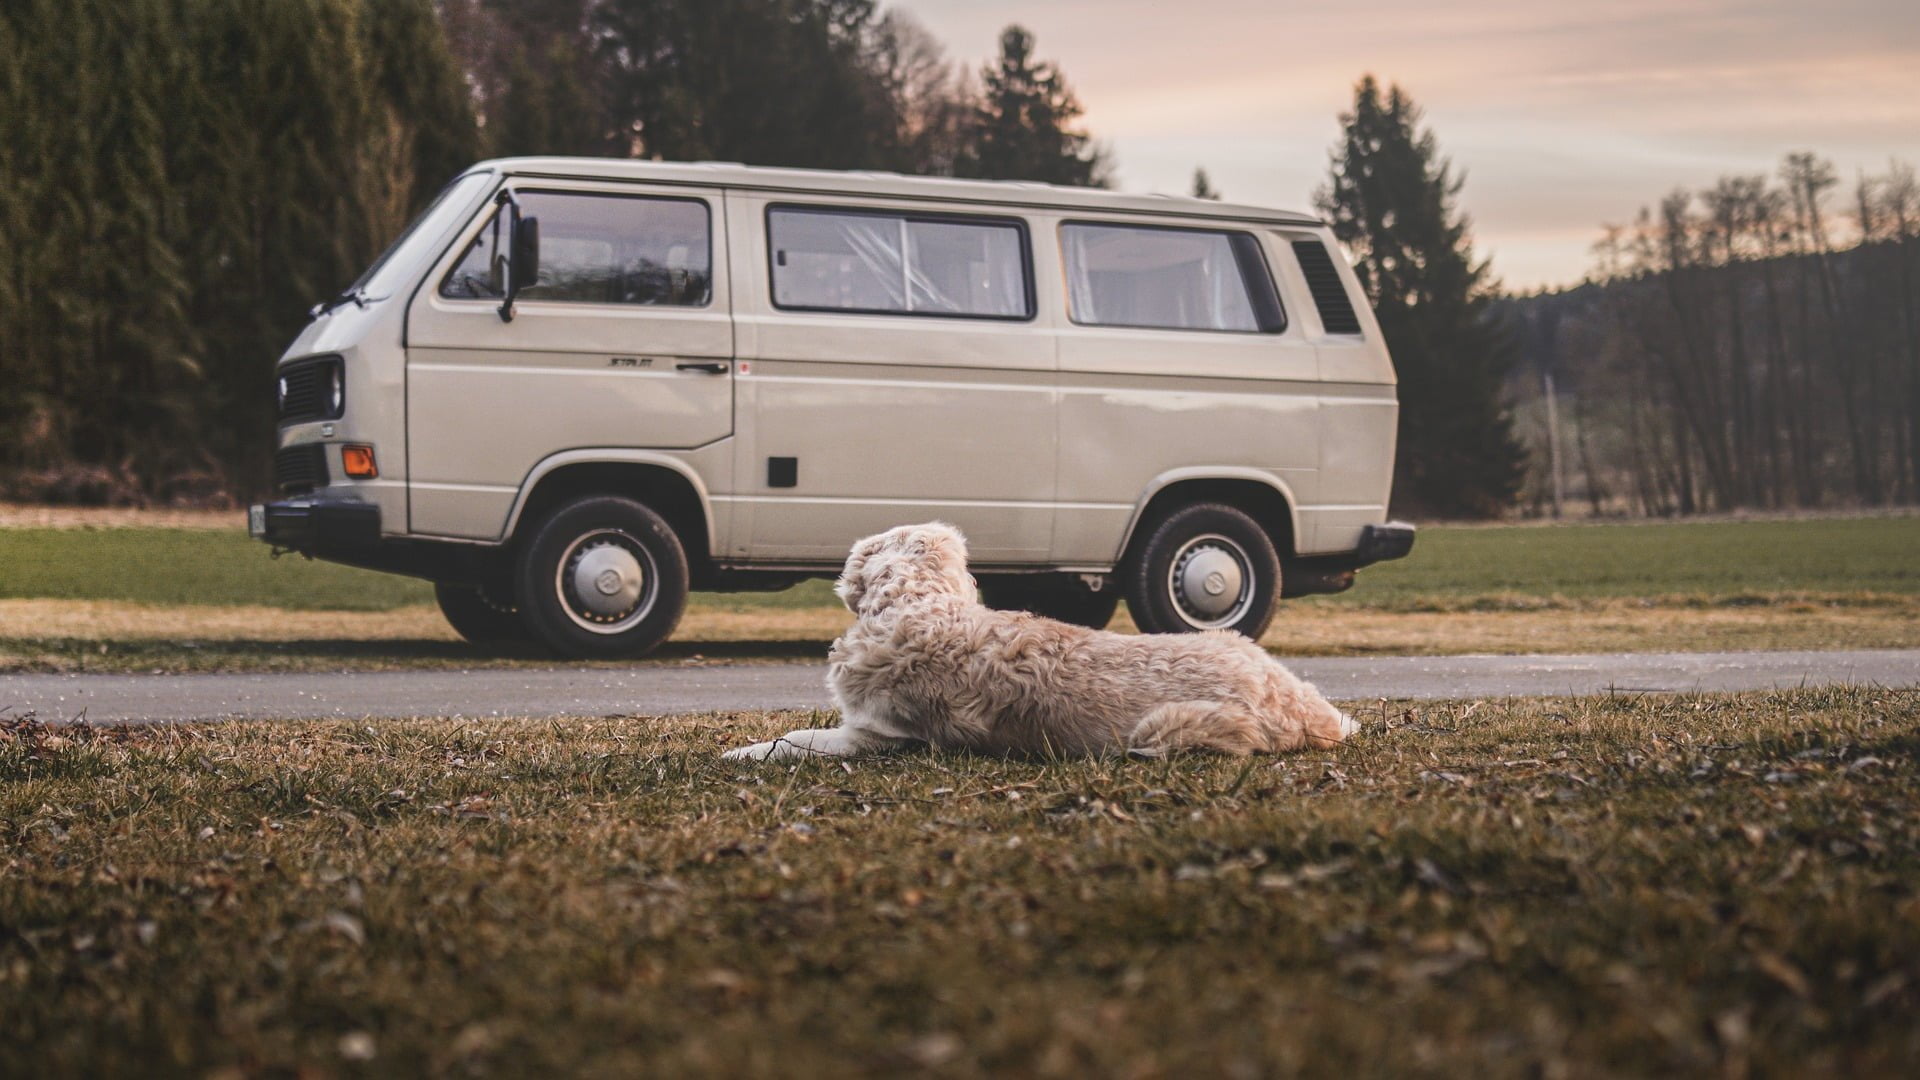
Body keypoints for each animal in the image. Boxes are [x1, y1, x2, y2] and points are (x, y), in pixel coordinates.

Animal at [721, 518, 1367, 757]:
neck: (924, 605)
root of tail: (1312, 712)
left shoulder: (875, 735)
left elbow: (793, 739)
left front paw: (744, 751)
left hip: (1167, 726)